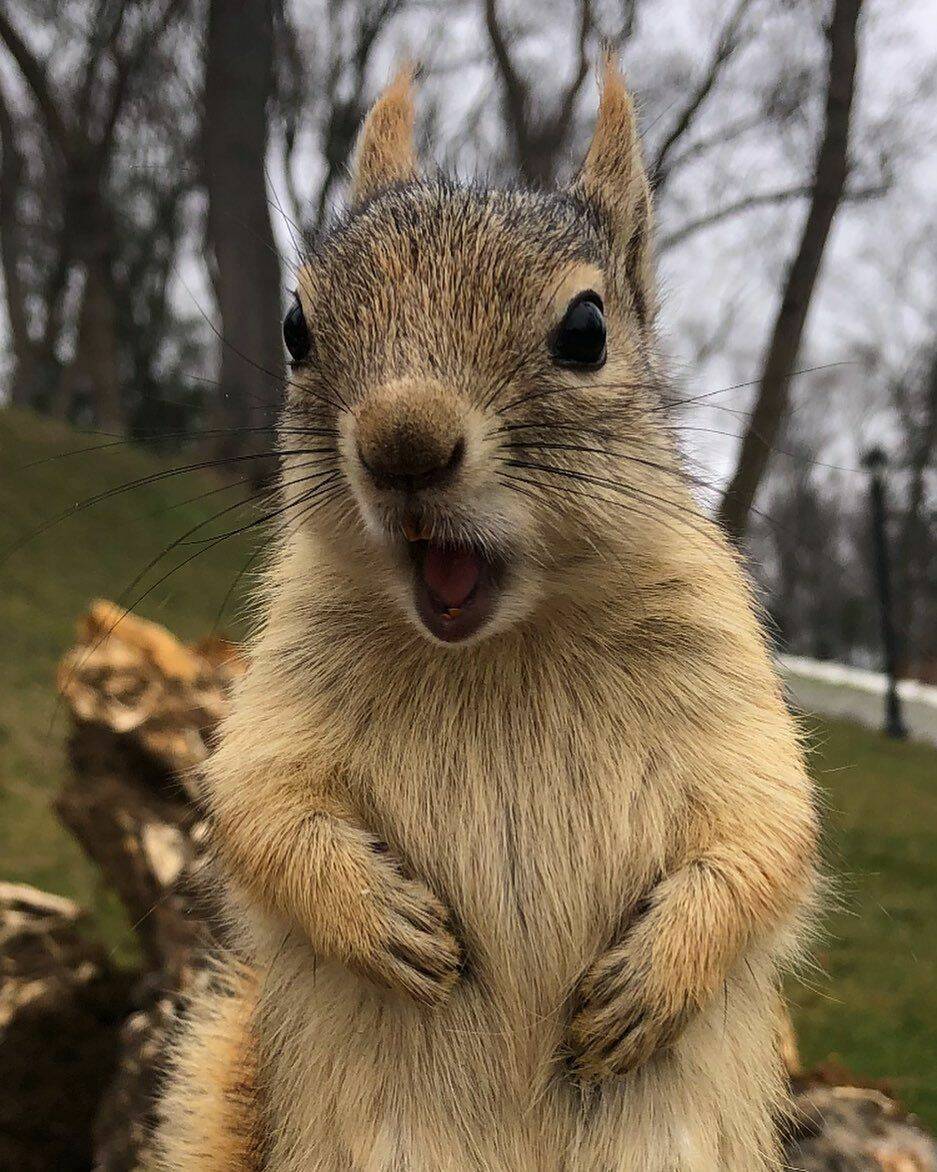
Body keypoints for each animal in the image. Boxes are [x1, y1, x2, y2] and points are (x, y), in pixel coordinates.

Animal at [157, 61, 816, 1172]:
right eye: (297, 328)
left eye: (587, 329)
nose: (403, 442)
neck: (508, 644)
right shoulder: (285, 684)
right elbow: (260, 807)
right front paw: (383, 922)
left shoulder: (725, 688)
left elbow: (763, 834)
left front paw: (653, 981)